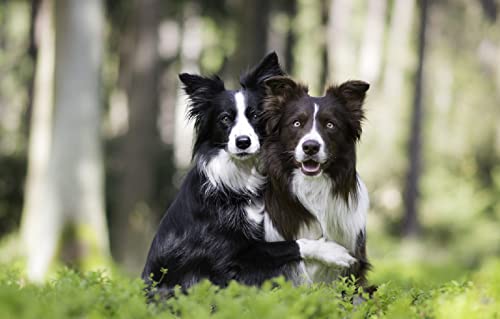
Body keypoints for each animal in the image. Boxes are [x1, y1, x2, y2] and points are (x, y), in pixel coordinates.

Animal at [142, 53, 356, 298]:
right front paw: (334, 252)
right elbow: (291, 244)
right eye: (225, 118)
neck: (239, 179)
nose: (243, 142)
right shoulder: (229, 256)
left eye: (255, 115)